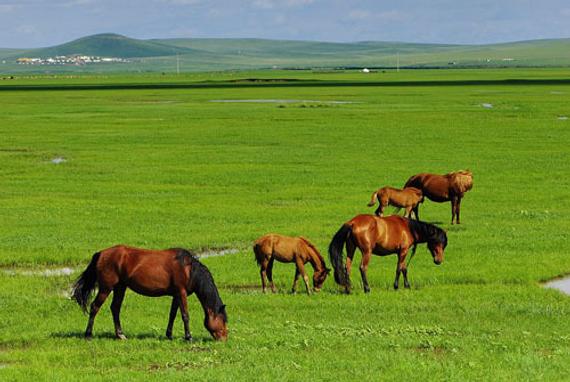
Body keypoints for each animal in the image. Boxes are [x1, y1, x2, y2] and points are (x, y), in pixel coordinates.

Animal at [72, 246, 227, 342]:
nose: (225, 339)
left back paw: (120, 335)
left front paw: (169, 335)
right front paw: (188, 337)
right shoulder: (181, 292)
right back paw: (88, 335)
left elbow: (172, 315)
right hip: (106, 288)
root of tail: (101, 253)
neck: (188, 269)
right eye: (224, 320)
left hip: (120, 287)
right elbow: (185, 315)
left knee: (115, 308)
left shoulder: (176, 294)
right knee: (95, 307)